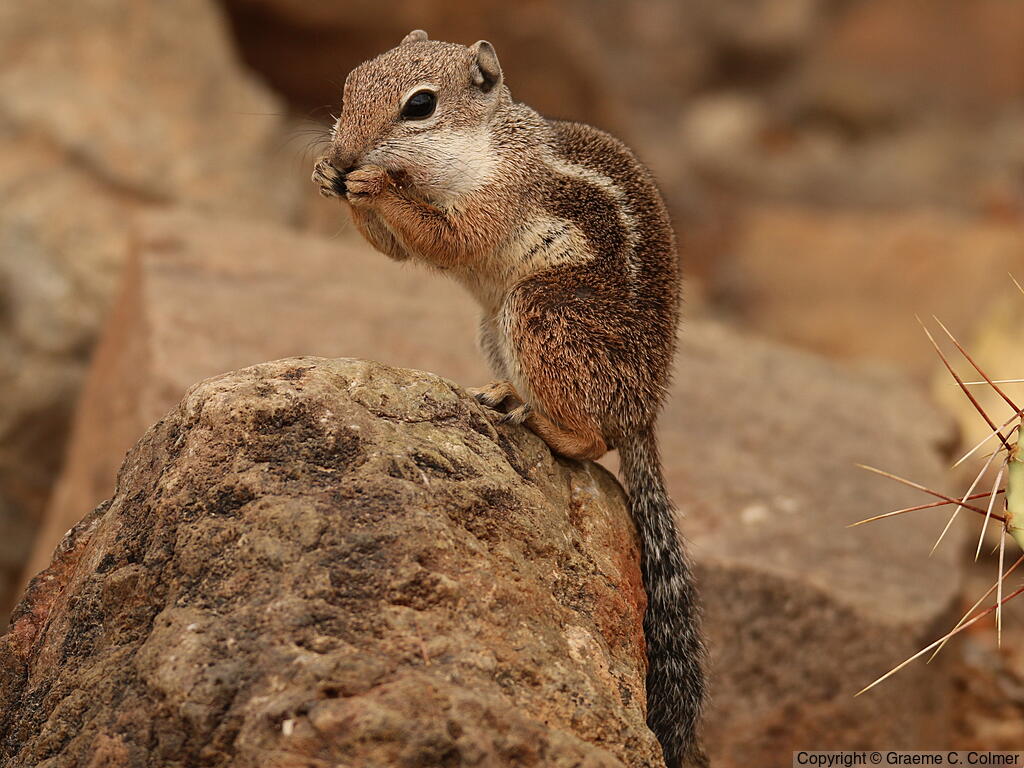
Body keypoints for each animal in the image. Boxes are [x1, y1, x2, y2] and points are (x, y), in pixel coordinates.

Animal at [312, 30, 707, 768]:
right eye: (350, 83)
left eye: (419, 106)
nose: (347, 155)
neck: (483, 145)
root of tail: (645, 412)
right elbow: (396, 249)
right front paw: (330, 175)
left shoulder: (500, 199)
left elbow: (448, 236)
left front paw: (373, 183)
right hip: (489, 323)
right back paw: (498, 393)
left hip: (537, 309)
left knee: (594, 439)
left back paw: (546, 426)